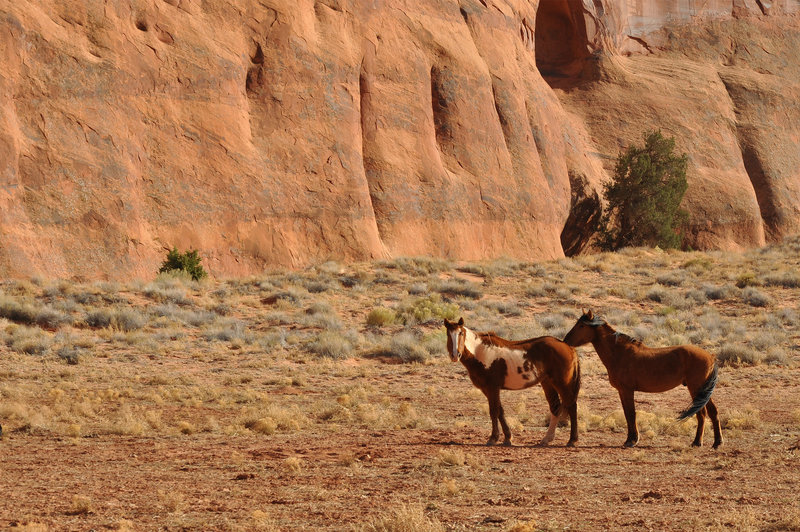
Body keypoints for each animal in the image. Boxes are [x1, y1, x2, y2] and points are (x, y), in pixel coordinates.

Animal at [444, 318, 580, 446]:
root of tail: (568, 347)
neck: (480, 352)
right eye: (448, 334)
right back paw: (546, 439)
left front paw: (493, 438)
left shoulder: (492, 388)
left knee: (572, 406)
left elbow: (494, 411)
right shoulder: (487, 389)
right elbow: (500, 411)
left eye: (461, 333)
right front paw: (507, 438)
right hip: (548, 383)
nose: (455, 355)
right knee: (555, 408)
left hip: (562, 384)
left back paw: (572, 440)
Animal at [564, 310, 724, 446]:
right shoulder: (622, 391)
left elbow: (631, 414)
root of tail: (710, 356)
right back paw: (715, 442)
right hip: (703, 390)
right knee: (711, 412)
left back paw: (699, 442)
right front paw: (630, 439)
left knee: (702, 413)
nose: (565, 340)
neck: (619, 353)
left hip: (696, 388)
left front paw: (632, 440)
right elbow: (627, 414)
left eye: (581, 325)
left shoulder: (627, 390)